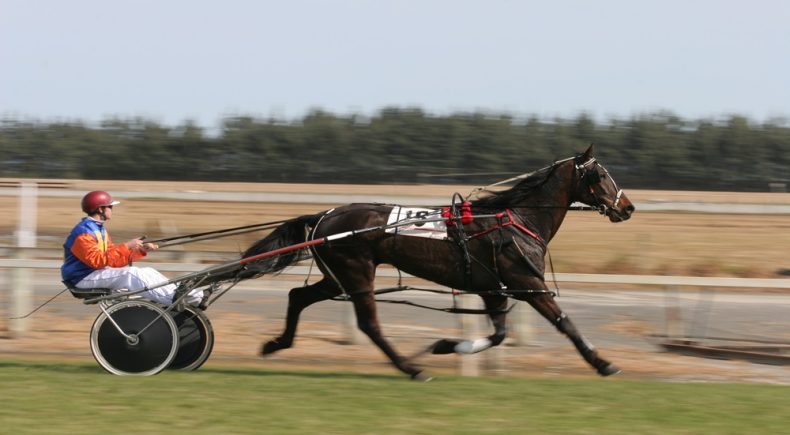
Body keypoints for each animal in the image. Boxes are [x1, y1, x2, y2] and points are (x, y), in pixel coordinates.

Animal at [238, 145, 636, 380]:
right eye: (600, 174)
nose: (628, 206)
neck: (514, 219)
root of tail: (325, 215)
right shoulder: (526, 282)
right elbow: (564, 322)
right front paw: (604, 363)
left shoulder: (494, 288)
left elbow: (499, 333)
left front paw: (447, 345)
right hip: (356, 273)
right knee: (369, 324)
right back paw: (411, 369)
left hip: (337, 276)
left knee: (298, 296)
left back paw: (275, 344)